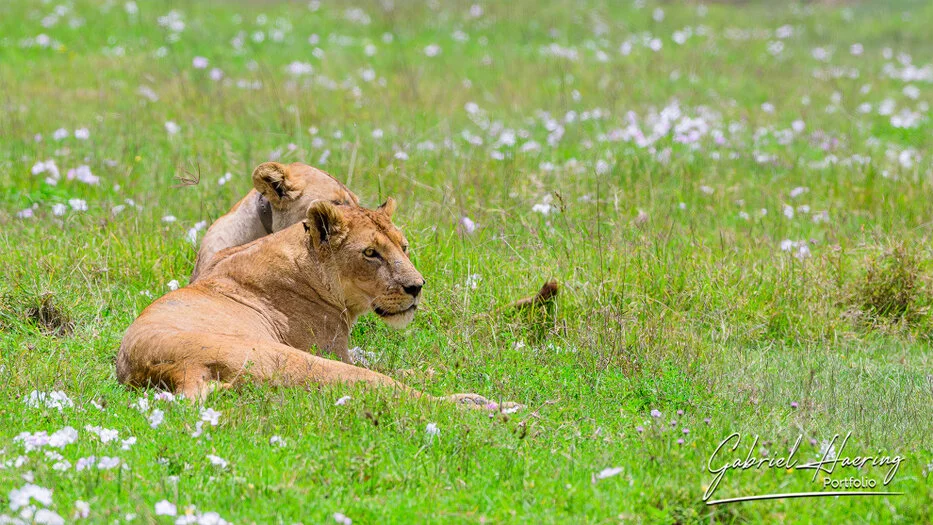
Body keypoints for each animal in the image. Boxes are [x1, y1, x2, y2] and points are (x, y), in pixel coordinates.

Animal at [116, 199, 518, 410]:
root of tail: (177, 370)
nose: (416, 287)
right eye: (371, 253)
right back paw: (484, 405)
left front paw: (435, 369)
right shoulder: (332, 352)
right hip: (297, 362)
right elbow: (391, 372)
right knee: (399, 392)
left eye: (403, 247)